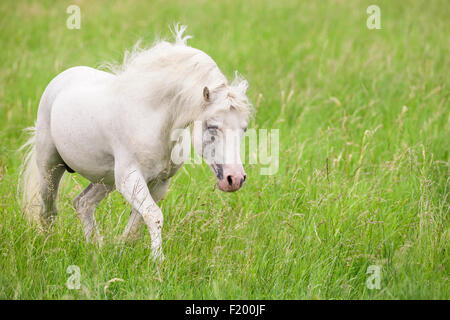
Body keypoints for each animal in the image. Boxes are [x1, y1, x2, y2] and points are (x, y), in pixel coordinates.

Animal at [21, 25, 251, 260]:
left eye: (244, 128)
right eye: (212, 126)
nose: (235, 179)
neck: (154, 116)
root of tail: (60, 80)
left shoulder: (158, 182)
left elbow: (137, 223)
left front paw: (121, 253)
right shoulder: (130, 178)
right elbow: (154, 215)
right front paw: (157, 261)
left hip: (106, 179)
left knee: (83, 203)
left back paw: (95, 248)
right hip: (50, 167)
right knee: (48, 210)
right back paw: (49, 247)